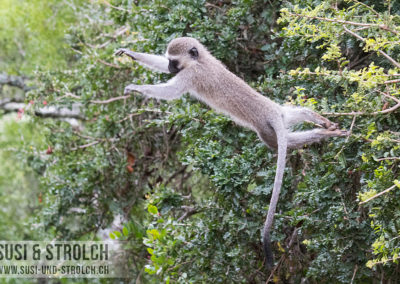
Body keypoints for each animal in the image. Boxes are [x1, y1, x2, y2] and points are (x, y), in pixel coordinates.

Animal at [115, 36, 346, 268]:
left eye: (174, 61)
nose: (172, 68)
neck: (200, 60)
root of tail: (273, 113)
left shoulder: (191, 75)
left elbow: (170, 92)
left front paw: (136, 88)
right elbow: (159, 68)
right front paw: (131, 53)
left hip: (265, 128)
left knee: (280, 143)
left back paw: (323, 133)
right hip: (283, 115)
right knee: (297, 116)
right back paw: (321, 123)